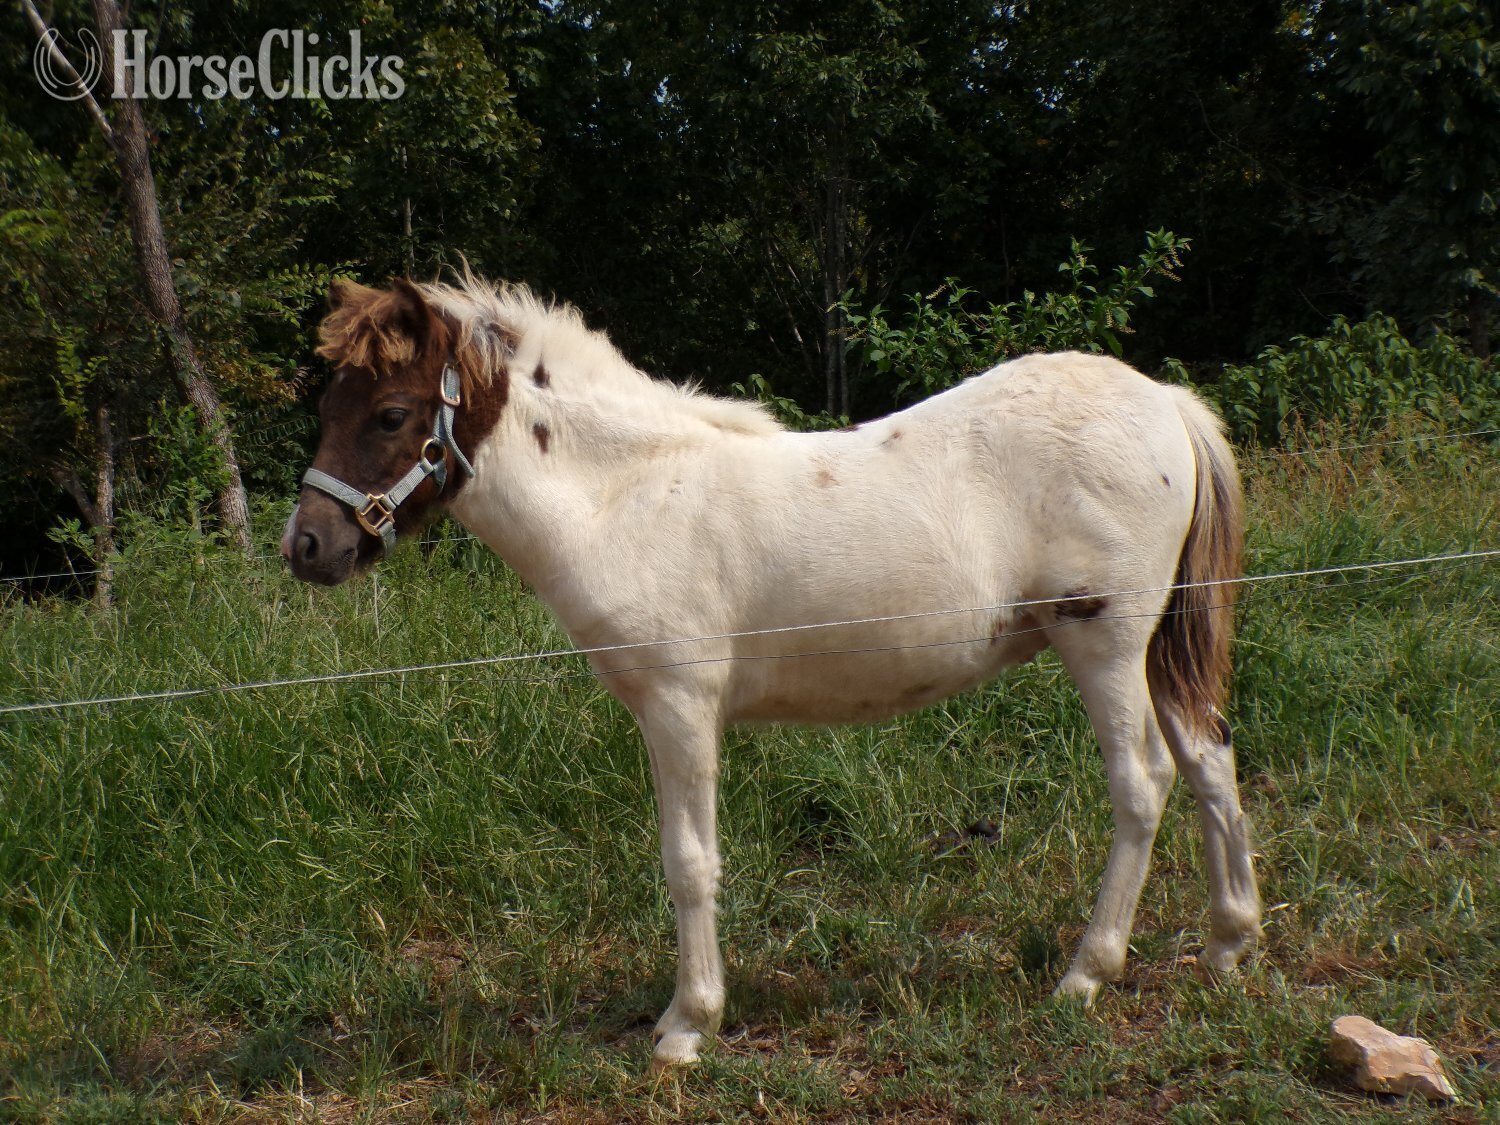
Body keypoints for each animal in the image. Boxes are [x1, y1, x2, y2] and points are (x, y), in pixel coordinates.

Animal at [281, 276, 1262, 1068]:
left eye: (391, 414)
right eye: (328, 406)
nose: (307, 547)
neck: (630, 495)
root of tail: (1165, 401)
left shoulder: (679, 705)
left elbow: (689, 861)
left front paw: (687, 1024)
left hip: (1105, 642)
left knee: (1142, 783)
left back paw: (1087, 973)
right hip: (1158, 645)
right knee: (1210, 757)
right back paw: (1228, 943)